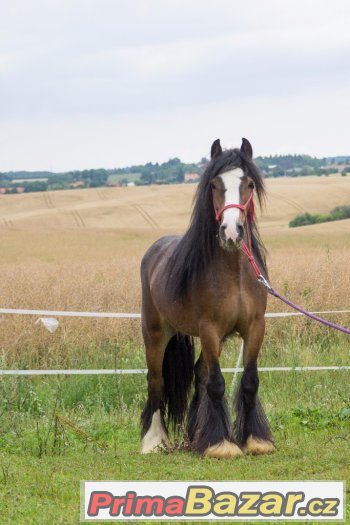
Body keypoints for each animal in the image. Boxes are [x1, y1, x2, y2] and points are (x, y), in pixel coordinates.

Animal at [141, 137, 274, 456]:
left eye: (249, 184)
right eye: (214, 184)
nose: (231, 232)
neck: (234, 273)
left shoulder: (255, 327)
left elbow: (249, 381)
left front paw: (255, 439)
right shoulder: (210, 329)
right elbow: (216, 383)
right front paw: (220, 445)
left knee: (198, 374)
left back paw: (194, 435)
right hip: (155, 333)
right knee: (156, 381)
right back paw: (154, 441)